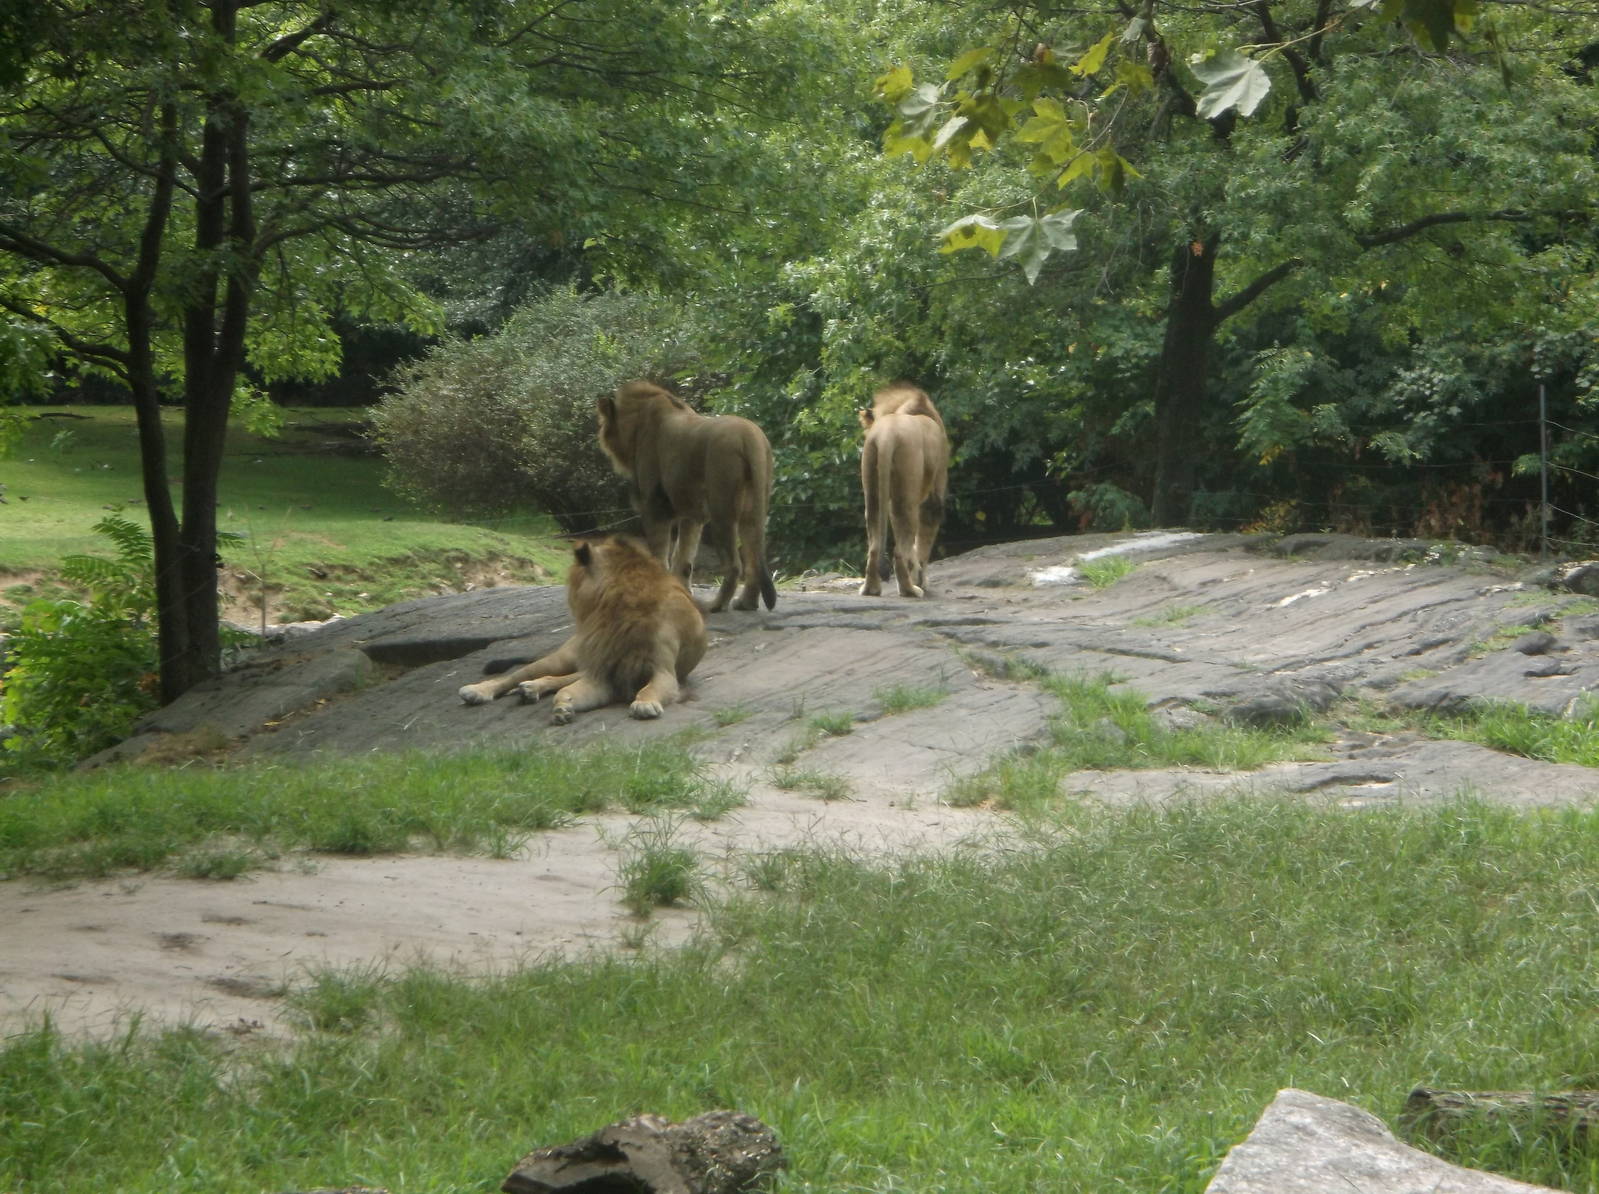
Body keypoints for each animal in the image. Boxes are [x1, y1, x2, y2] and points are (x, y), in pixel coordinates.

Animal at [457, 534, 707, 723]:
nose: (569, 600)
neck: (616, 608)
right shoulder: (602, 675)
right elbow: (566, 691)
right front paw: (562, 708)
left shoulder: (662, 672)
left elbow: (648, 689)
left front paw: (644, 705)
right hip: (563, 657)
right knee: (516, 675)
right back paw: (479, 691)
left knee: (556, 678)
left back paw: (531, 689)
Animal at [596, 380, 777, 612]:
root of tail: (750, 436)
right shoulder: (692, 513)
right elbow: (683, 558)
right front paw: (682, 593)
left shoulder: (654, 506)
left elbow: (661, 554)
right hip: (753, 509)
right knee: (754, 559)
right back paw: (745, 604)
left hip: (722, 510)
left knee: (735, 565)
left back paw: (715, 605)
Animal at [858, 382, 949, 599]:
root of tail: (886, 435)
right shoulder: (935, 492)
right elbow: (923, 540)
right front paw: (921, 579)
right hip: (907, 492)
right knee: (899, 550)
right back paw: (911, 590)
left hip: (874, 492)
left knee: (874, 546)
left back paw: (870, 589)